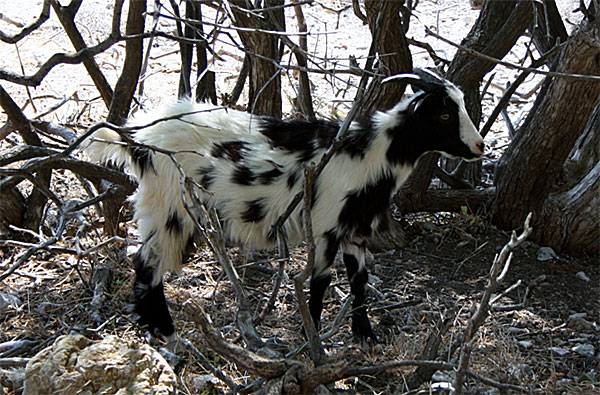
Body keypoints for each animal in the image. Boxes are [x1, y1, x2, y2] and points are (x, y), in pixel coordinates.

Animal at [86, 69, 486, 344]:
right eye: (444, 115)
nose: (479, 146)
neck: (367, 156)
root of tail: (136, 139)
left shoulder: (354, 230)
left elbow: (359, 283)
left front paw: (365, 337)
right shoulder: (324, 229)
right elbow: (320, 285)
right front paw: (313, 343)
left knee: (145, 262)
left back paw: (153, 327)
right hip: (171, 204)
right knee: (147, 264)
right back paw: (166, 332)